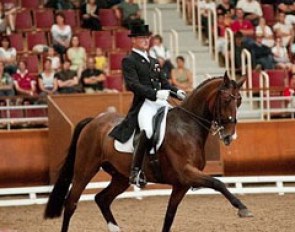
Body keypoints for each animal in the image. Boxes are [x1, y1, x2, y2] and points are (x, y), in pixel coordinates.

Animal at [44, 72, 252, 232]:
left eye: (240, 101)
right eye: (226, 99)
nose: (229, 136)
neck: (187, 126)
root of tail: (94, 121)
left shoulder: (181, 184)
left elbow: (169, 216)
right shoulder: (187, 172)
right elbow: (218, 183)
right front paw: (243, 208)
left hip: (120, 176)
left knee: (102, 199)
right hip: (85, 169)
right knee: (71, 203)